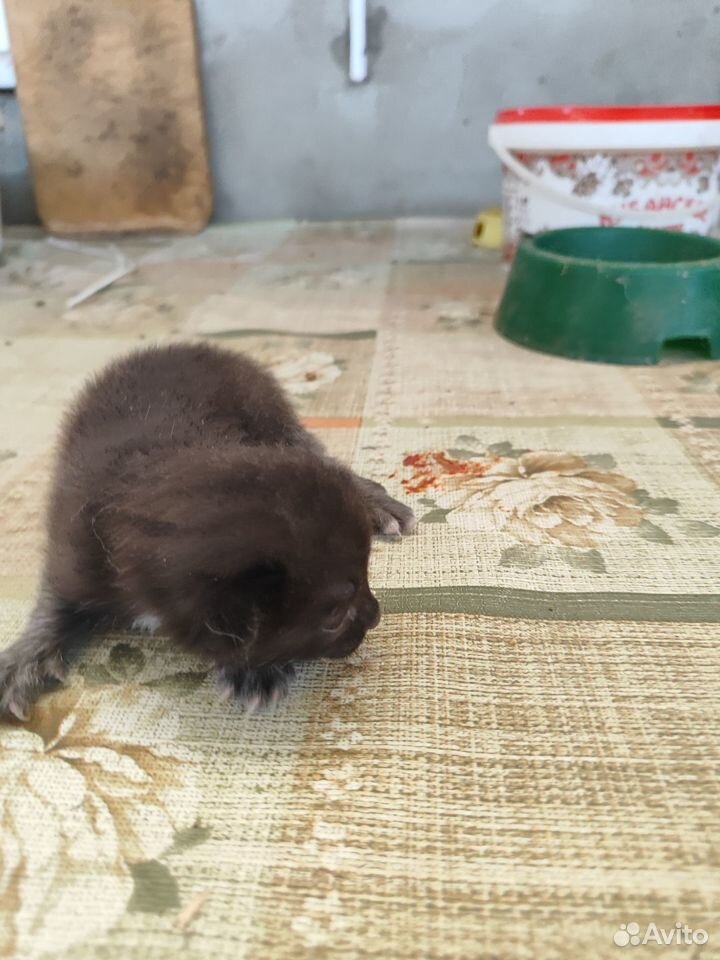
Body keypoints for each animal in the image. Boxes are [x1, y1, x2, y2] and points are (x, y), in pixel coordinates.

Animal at [0, 342, 416, 716]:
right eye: (333, 617)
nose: (376, 615)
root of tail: (190, 346)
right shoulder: (74, 548)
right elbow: (54, 601)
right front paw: (24, 658)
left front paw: (254, 671)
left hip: (268, 413)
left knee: (321, 456)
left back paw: (378, 504)